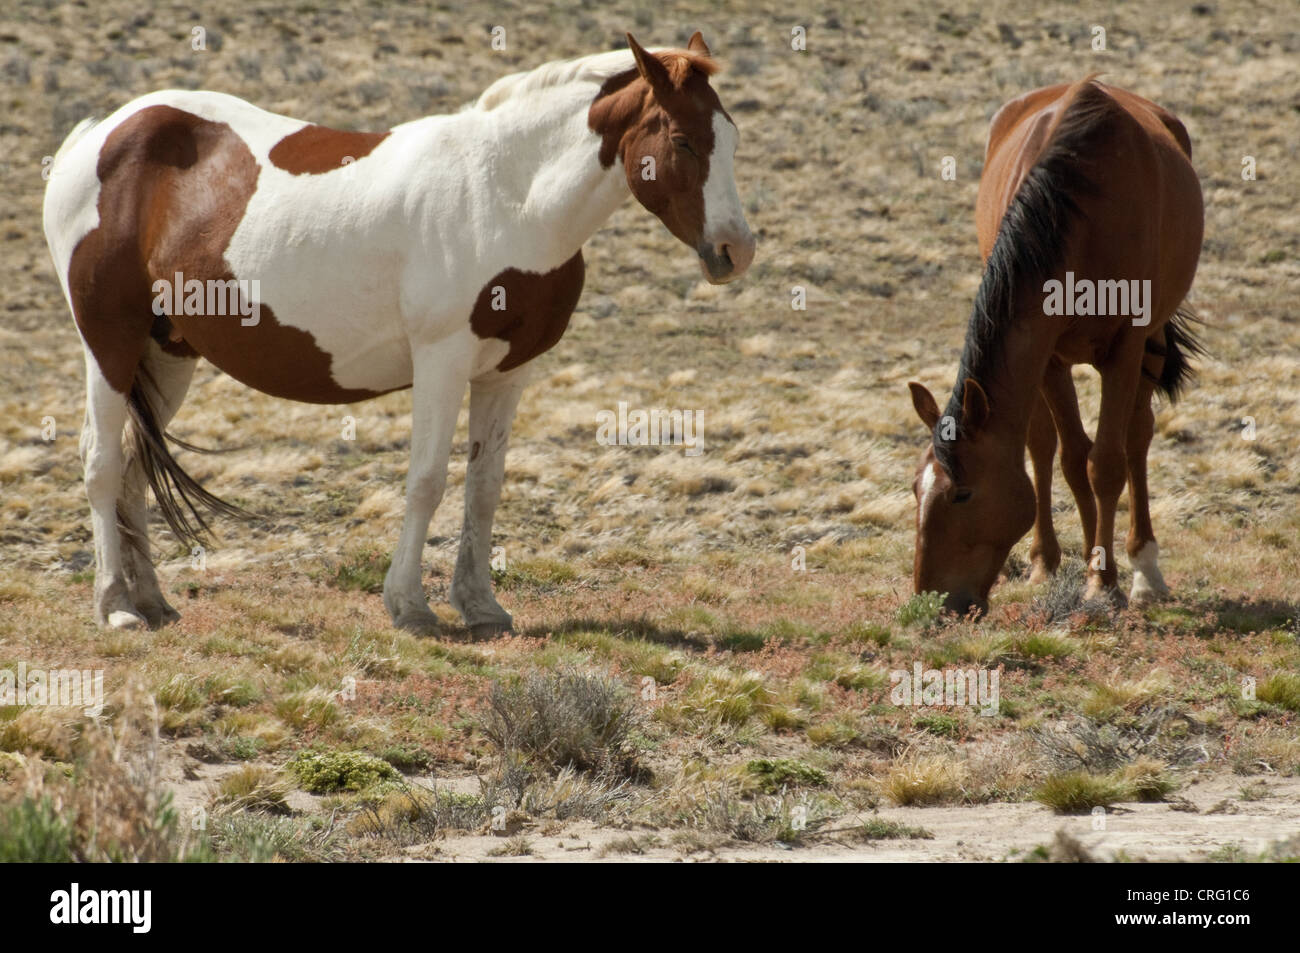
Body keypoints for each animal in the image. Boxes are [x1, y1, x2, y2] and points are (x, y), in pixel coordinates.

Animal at [42, 32, 756, 634]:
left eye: (730, 135)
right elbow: (428, 480)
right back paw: (116, 607)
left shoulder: (508, 372)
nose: (736, 250)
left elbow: (484, 487)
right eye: (683, 140)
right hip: (110, 342)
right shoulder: (441, 361)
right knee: (101, 462)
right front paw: (410, 606)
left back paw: (152, 602)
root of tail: (96, 137)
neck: (505, 194)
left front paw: (481, 606)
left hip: (167, 353)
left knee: (133, 469)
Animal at [907, 77, 1204, 617]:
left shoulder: (1126, 348)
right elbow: (1069, 458)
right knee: (1045, 447)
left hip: (1151, 342)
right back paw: (1046, 561)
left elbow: (1105, 463)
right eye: (915, 489)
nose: (932, 604)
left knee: (1137, 437)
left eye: (962, 494)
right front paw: (1091, 568)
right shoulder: (1048, 354)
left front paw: (1105, 581)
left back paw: (1145, 570)